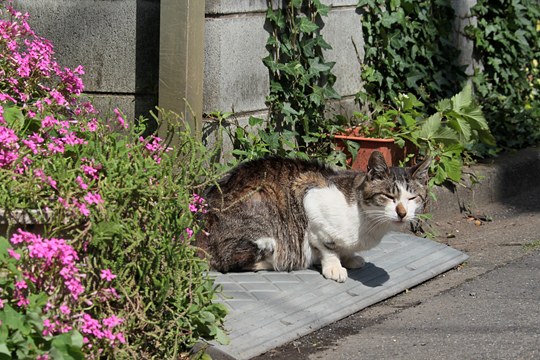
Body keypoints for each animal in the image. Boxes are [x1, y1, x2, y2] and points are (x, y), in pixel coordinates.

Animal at [195, 150, 430, 282]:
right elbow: (327, 247)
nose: (402, 212)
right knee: (229, 261)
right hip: (261, 207)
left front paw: (350, 258)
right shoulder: (309, 194)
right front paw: (334, 267)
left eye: (412, 198)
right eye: (389, 196)